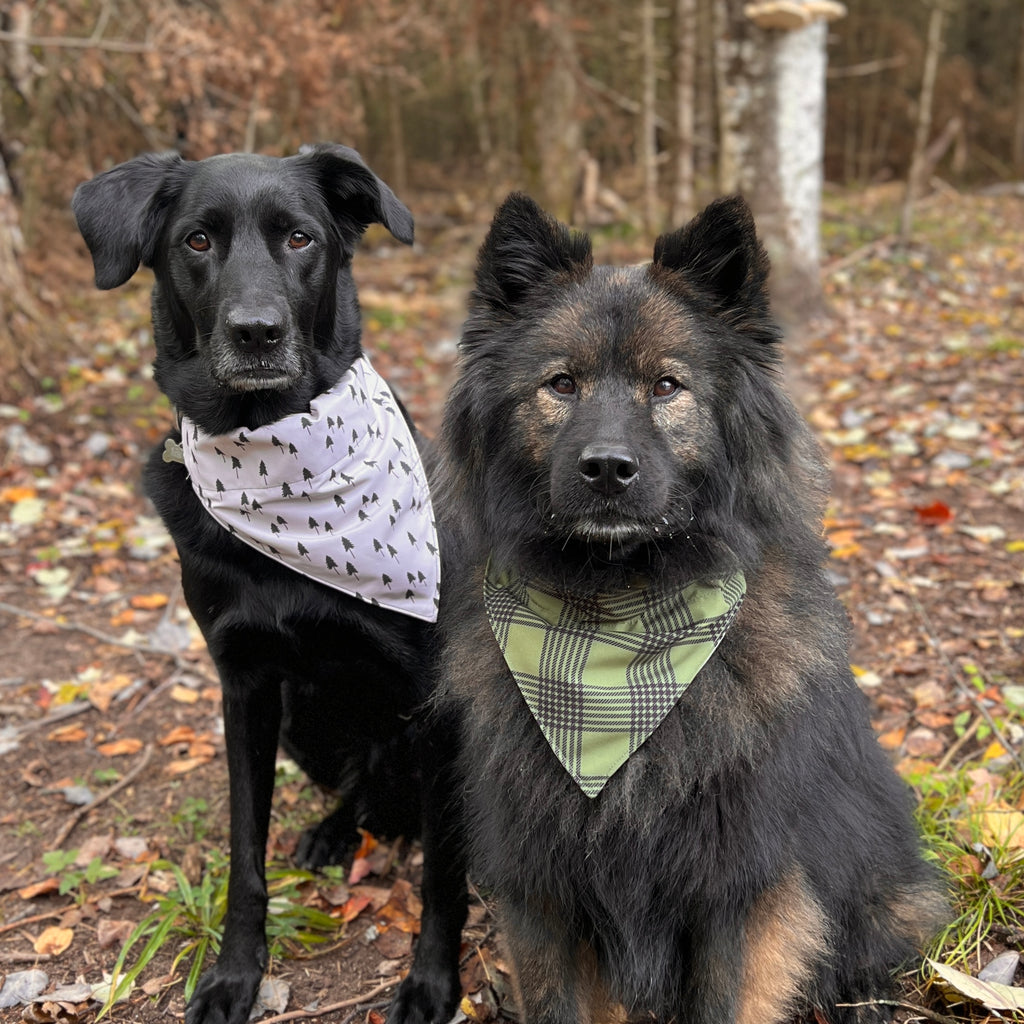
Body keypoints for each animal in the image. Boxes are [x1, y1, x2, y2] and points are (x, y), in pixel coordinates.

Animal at [74, 144, 466, 1024]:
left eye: (299, 237)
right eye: (196, 241)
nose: (257, 332)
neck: (276, 458)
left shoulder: (438, 694)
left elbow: (444, 871)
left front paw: (432, 983)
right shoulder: (246, 685)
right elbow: (243, 855)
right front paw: (234, 975)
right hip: (302, 719)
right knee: (363, 795)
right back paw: (334, 830)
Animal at [432, 192, 942, 1024]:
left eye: (667, 386)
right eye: (561, 384)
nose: (607, 469)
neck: (616, 620)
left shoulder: (736, 887)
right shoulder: (542, 891)